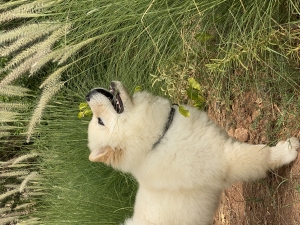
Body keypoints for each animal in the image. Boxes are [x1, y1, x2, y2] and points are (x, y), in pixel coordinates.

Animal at [85, 81, 298, 225]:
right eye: (100, 121)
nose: (88, 94)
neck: (158, 139)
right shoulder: (226, 158)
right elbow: (262, 154)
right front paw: (287, 149)